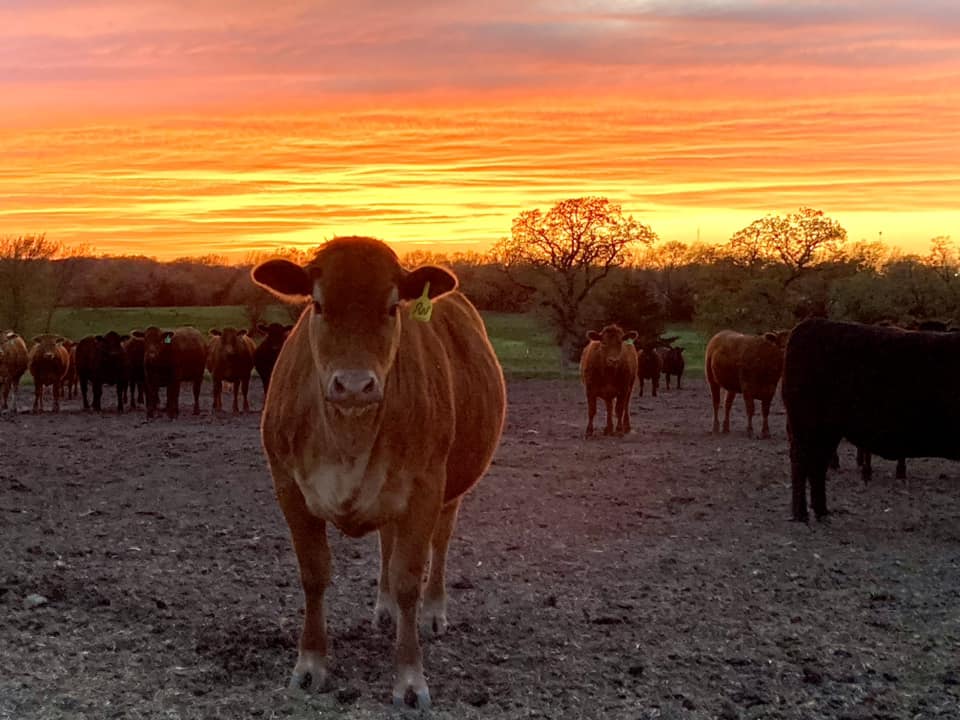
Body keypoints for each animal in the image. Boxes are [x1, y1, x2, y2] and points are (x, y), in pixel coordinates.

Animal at [251, 236, 506, 709]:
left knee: (439, 546)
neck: (349, 437)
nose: (354, 385)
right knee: (387, 540)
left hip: (450, 490)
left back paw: (433, 611)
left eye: (392, 307)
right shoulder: (288, 486)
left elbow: (409, 578)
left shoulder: (425, 487)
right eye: (317, 304)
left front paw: (409, 678)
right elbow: (314, 574)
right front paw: (310, 665)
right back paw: (384, 609)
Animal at [783, 317, 960, 522]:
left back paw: (821, 512)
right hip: (808, 427)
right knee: (802, 463)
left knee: (817, 465)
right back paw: (802, 514)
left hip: (825, 431)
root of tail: (810, 324)